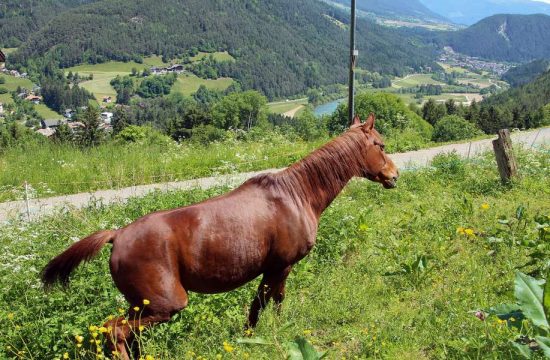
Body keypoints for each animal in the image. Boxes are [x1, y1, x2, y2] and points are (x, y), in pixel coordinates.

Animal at [42, 114, 396, 358]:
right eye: (380, 145)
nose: (394, 175)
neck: (296, 195)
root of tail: (117, 236)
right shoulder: (281, 267)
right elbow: (269, 303)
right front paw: (265, 335)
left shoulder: (273, 268)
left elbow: (264, 304)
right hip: (163, 304)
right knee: (116, 332)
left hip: (142, 305)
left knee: (125, 333)